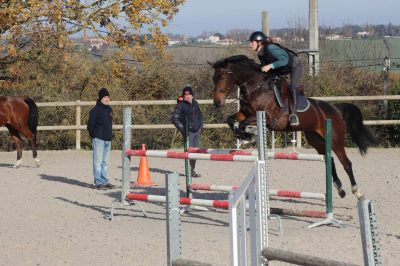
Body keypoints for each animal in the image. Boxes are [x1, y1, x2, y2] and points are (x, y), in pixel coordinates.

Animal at [211, 55, 376, 201]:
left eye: (223, 77)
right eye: (214, 78)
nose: (217, 102)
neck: (256, 87)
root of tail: (335, 109)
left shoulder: (266, 117)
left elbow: (244, 124)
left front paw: (248, 136)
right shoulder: (245, 113)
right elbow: (231, 120)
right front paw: (242, 135)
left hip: (335, 140)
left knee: (346, 163)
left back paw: (357, 192)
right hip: (316, 140)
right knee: (329, 159)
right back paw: (340, 188)